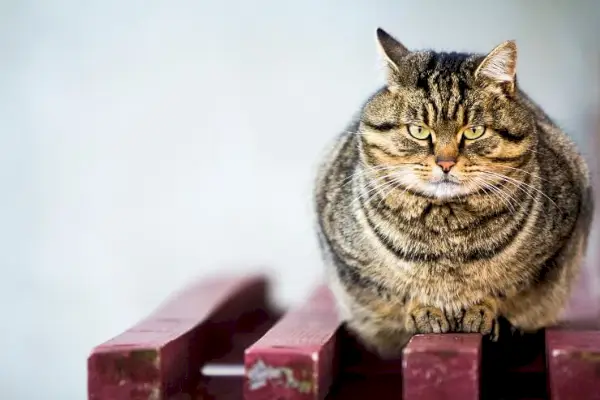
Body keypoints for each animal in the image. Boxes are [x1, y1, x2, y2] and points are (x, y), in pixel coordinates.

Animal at [314, 28, 596, 360]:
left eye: (473, 131)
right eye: (418, 131)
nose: (445, 163)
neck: (447, 228)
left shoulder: (557, 247)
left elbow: (506, 288)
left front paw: (481, 309)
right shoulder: (349, 260)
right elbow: (397, 291)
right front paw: (423, 309)